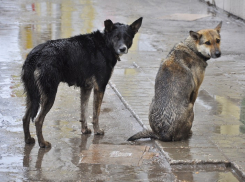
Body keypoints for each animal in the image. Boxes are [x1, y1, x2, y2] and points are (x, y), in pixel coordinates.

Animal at [22, 17, 144, 148]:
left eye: (127, 37)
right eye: (116, 37)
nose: (123, 49)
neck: (104, 44)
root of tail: (35, 54)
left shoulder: (86, 87)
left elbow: (83, 111)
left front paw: (84, 130)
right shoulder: (100, 87)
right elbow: (96, 114)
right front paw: (97, 130)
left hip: (33, 95)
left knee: (25, 118)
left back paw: (28, 139)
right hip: (49, 94)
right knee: (38, 120)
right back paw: (42, 143)